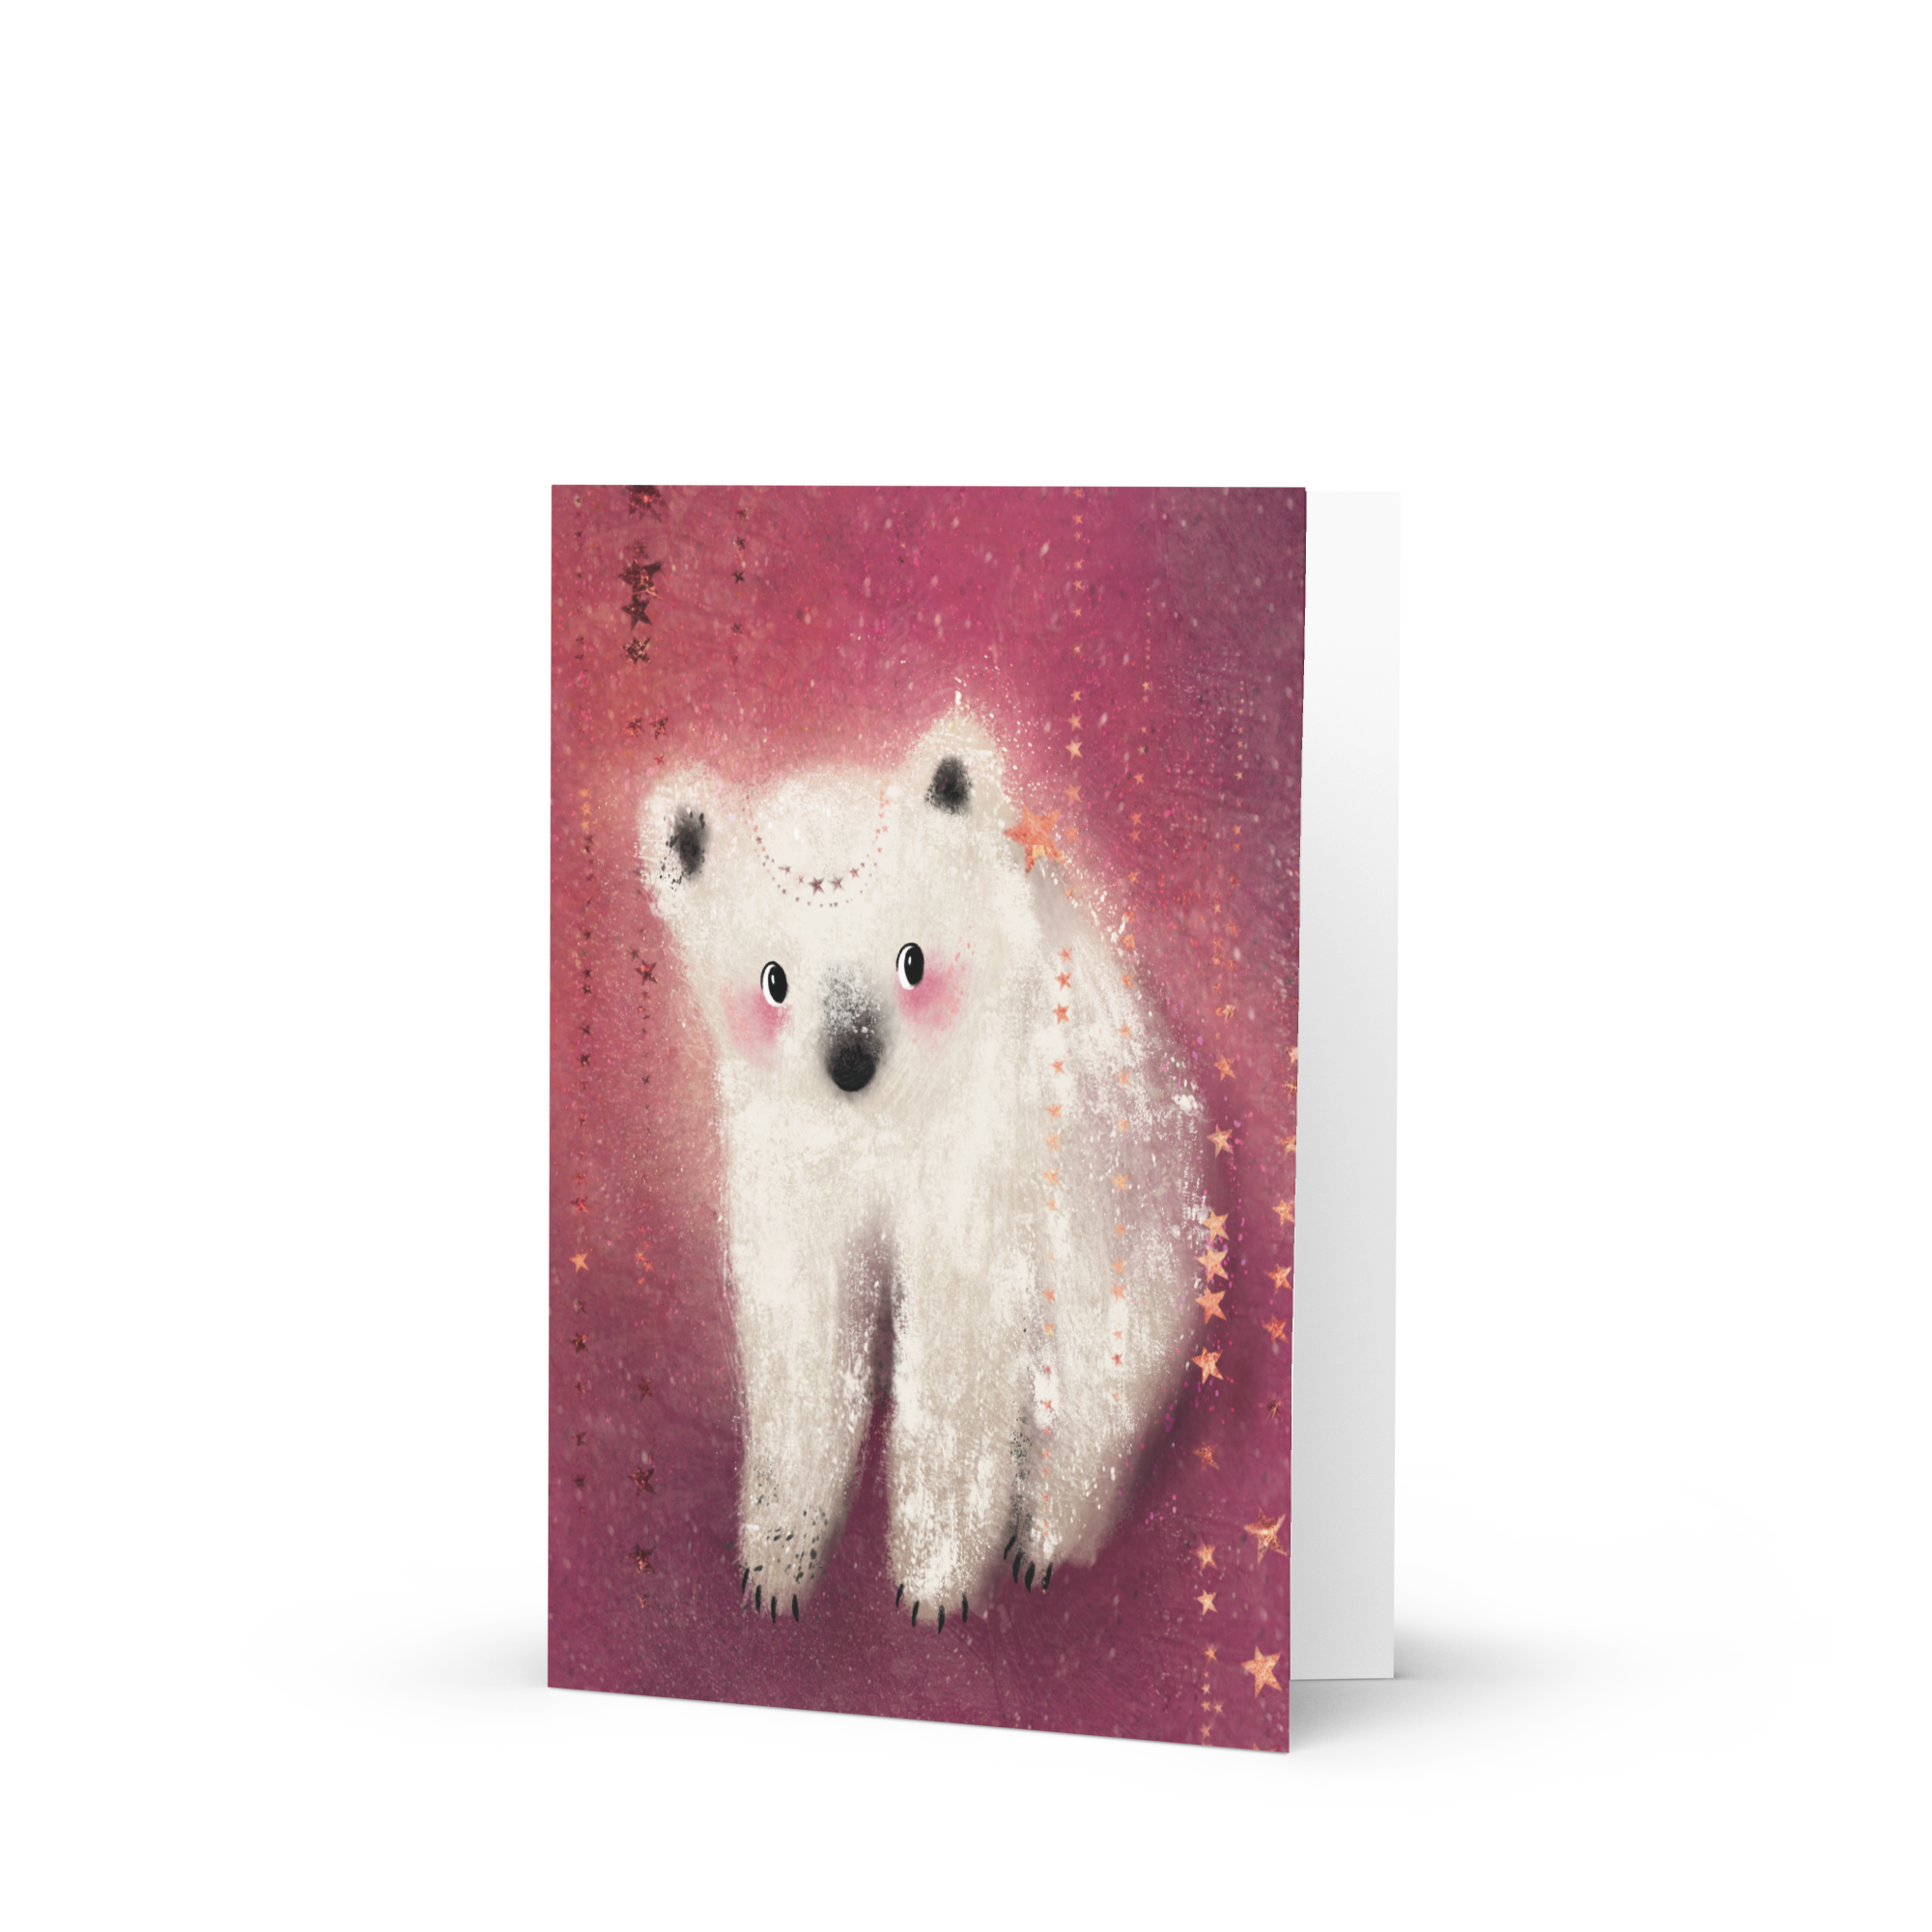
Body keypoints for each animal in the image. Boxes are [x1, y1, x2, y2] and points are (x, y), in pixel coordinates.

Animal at [639, 704, 1208, 1629]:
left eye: (913, 958)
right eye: (774, 978)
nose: (851, 1061)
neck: (886, 1124)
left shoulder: (992, 1140)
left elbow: (958, 1342)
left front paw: (933, 1586)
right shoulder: (793, 1151)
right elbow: (805, 1324)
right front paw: (778, 1566)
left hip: (1125, 1223)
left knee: (1092, 1396)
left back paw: (1047, 1541)